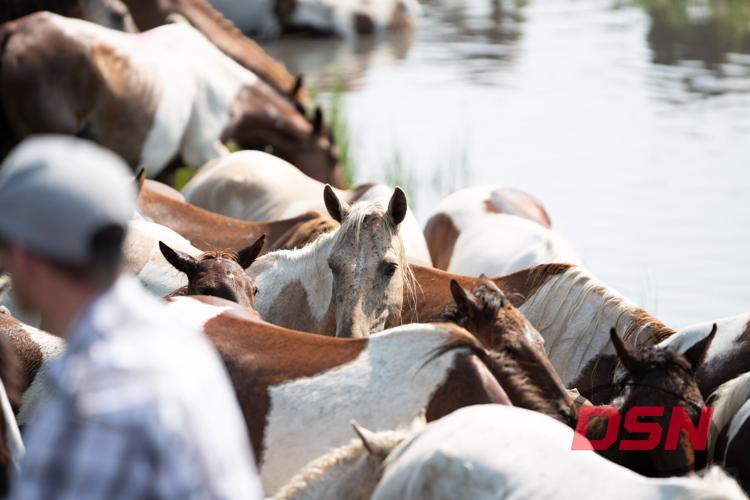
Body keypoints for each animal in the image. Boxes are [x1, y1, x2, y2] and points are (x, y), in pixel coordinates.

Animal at [0, 13, 343, 186]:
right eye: (333, 157)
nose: (339, 191)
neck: (229, 90)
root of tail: (14, 31)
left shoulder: (166, 169)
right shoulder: (205, 151)